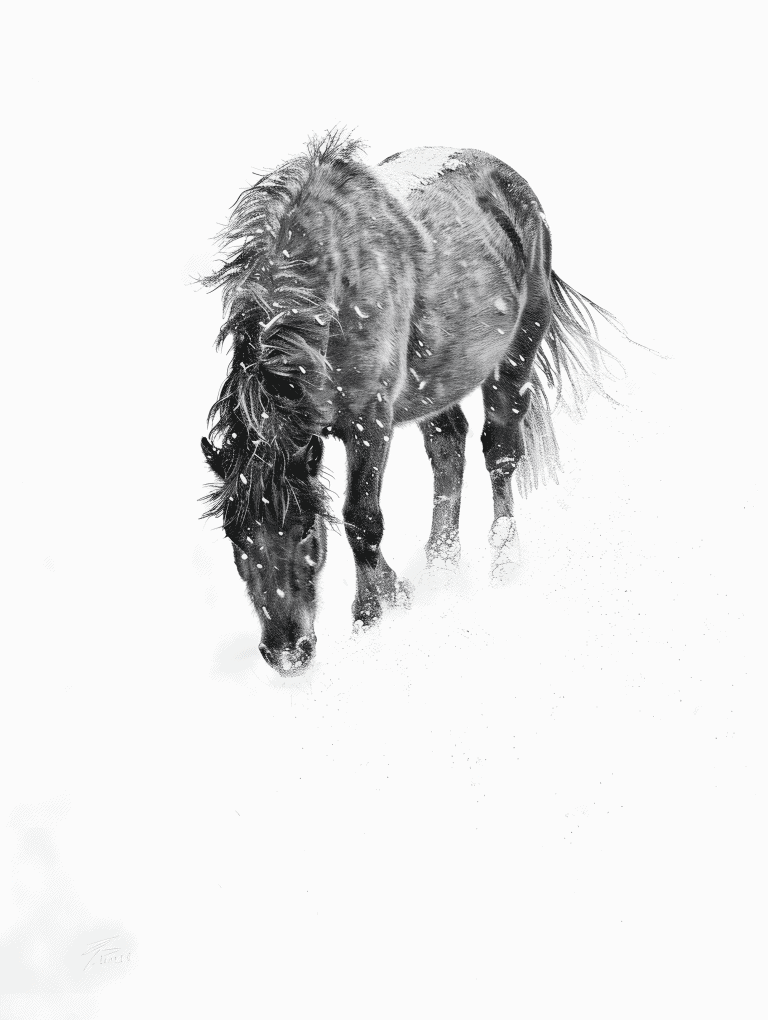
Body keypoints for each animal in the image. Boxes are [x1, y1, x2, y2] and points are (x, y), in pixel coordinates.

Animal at [200, 131, 621, 674]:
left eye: (306, 530)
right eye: (235, 536)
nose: (286, 654)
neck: (331, 289)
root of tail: (514, 185)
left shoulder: (369, 423)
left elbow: (361, 519)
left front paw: (370, 617)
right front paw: (400, 591)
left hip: (516, 355)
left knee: (500, 454)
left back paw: (504, 561)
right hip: (435, 383)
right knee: (449, 450)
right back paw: (441, 567)